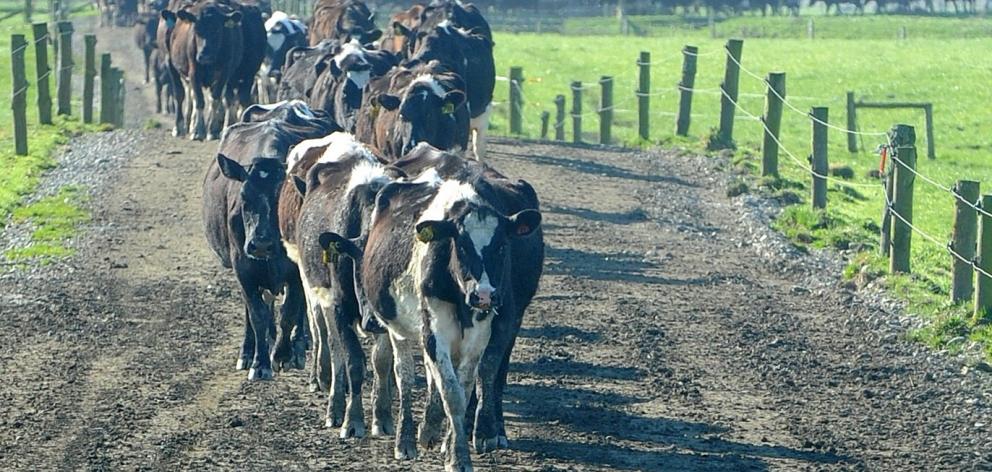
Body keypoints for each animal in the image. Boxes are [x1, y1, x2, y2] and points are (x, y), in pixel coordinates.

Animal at [161, 0, 244, 140]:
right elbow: (199, 101)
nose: (204, 55)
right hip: (171, 64)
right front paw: (197, 131)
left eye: (217, 29)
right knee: (180, 95)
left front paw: (211, 130)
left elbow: (215, 99)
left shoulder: (224, 73)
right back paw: (179, 127)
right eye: (196, 29)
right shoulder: (193, 72)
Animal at [202, 100, 340, 380]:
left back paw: (297, 345)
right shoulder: (243, 267)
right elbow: (257, 314)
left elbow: (289, 312)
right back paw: (249, 350)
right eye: (244, 197)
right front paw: (259, 361)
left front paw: (283, 355)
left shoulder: (296, 271)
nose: (262, 244)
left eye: (282, 199)